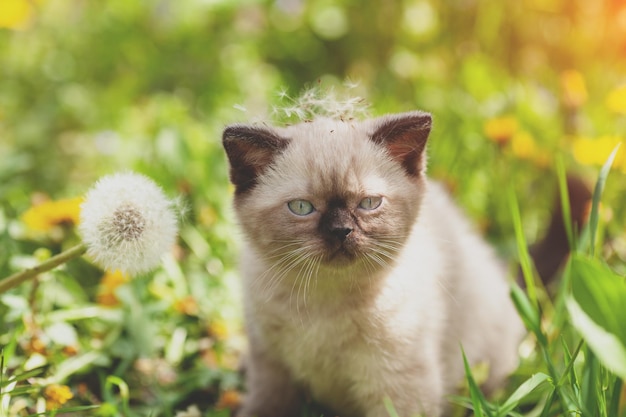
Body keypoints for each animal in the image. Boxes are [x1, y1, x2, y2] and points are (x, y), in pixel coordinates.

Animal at [222, 110, 524, 416]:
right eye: (301, 208)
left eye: (369, 203)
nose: (341, 231)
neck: (325, 303)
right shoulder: (271, 368)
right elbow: (261, 407)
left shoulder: (397, 384)